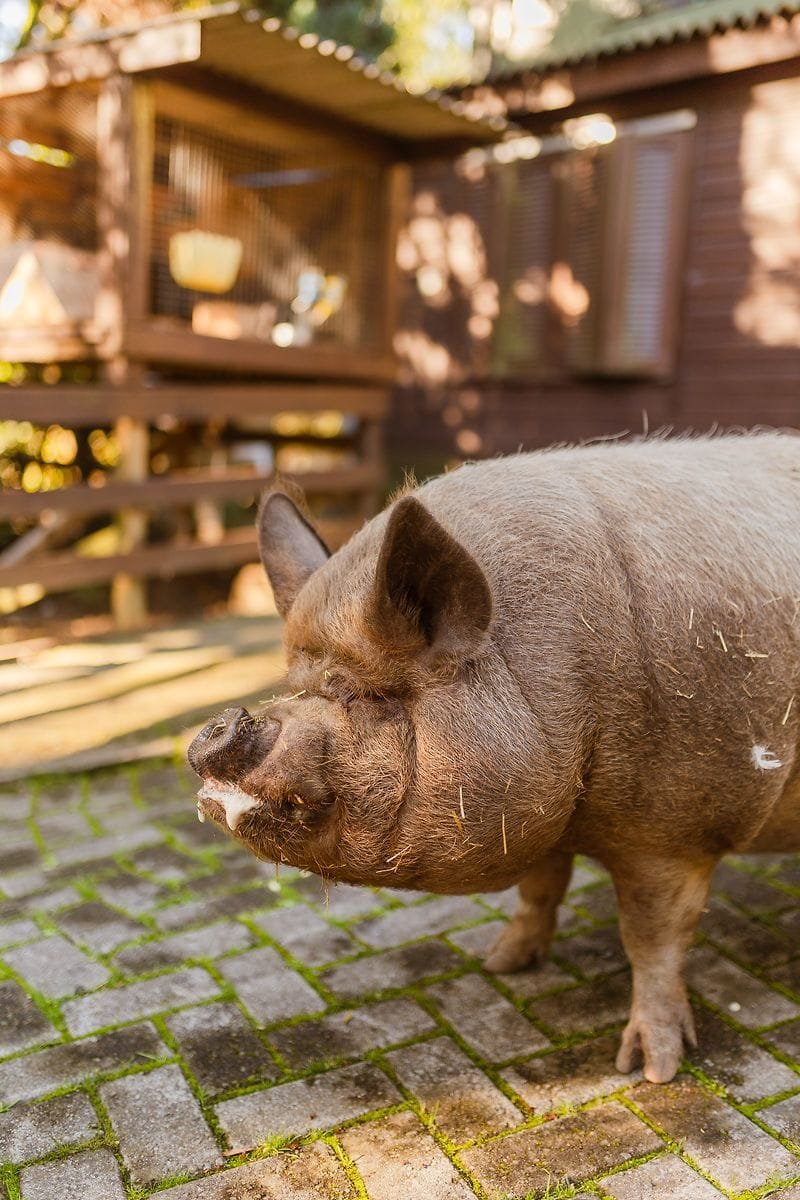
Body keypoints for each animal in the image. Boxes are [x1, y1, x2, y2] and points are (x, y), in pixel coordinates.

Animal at [188, 432, 800, 1084]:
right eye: (297, 685)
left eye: (364, 693)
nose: (218, 726)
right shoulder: (542, 821)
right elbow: (539, 889)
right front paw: (501, 963)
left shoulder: (673, 830)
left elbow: (652, 938)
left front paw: (647, 1069)